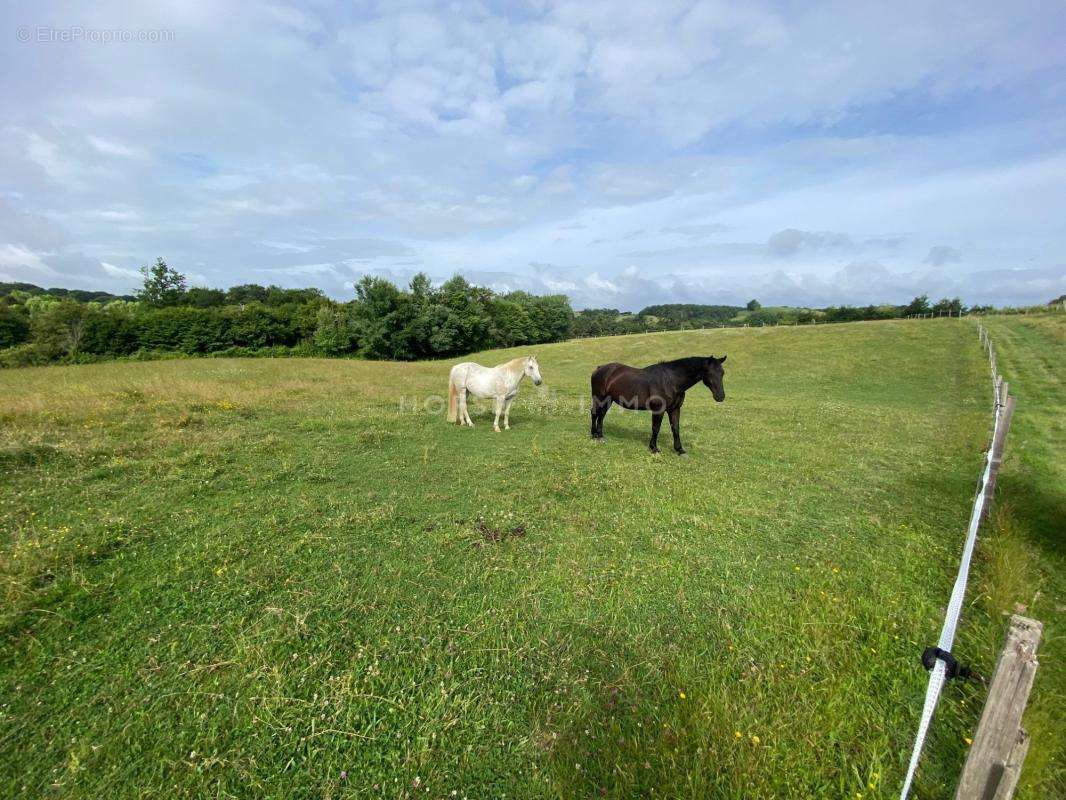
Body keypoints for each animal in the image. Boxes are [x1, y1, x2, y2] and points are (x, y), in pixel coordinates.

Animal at [588, 356, 729, 454]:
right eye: (709, 373)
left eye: (722, 373)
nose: (720, 396)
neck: (671, 381)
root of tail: (599, 368)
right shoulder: (658, 410)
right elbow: (656, 428)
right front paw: (654, 448)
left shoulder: (675, 409)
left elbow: (675, 428)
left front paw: (679, 450)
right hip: (599, 397)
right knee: (594, 413)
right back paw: (594, 435)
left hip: (608, 400)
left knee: (601, 415)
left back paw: (600, 436)